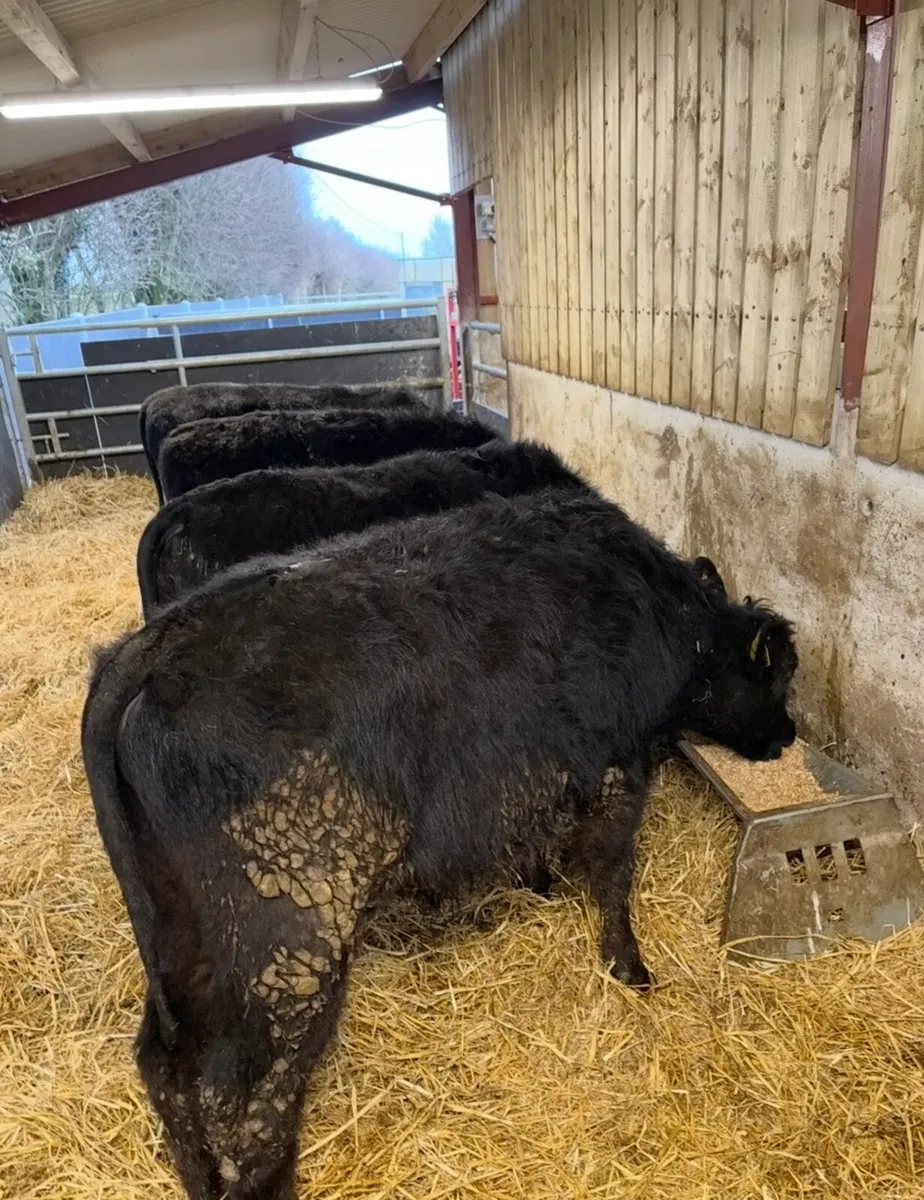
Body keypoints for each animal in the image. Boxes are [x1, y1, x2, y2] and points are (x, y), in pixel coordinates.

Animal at [83, 488, 797, 1199]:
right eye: (781, 676)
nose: (788, 736)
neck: (663, 610)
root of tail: (155, 644)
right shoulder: (619, 764)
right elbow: (614, 873)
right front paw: (630, 968)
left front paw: (542, 886)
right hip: (288, 940)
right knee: (241, 1089)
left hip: (188, 936)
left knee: (166, 1065)